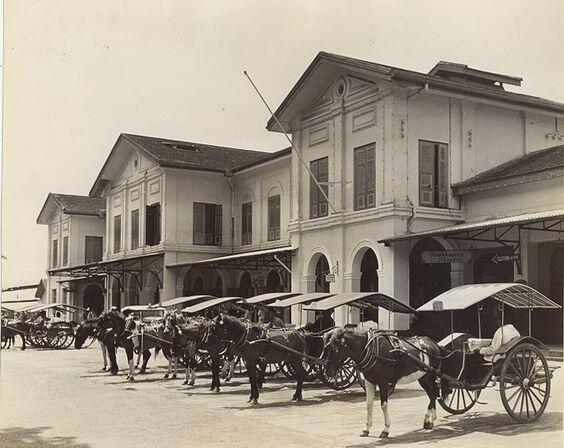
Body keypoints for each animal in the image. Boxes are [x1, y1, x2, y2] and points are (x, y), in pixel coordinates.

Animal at [322, 328, 450, 438]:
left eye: (336, 348)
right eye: (326, 348)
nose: (328, 371)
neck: (371, 349)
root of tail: (434, 343)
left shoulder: (383, 382)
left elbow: (383, 405)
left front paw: (386, 429)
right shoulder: (369, 382)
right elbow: (369, 404)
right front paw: (366, 429)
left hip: (430, 375)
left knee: (434, 393)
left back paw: (431, 419)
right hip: (422, 378)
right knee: (432, 394)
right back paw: (429, 420)